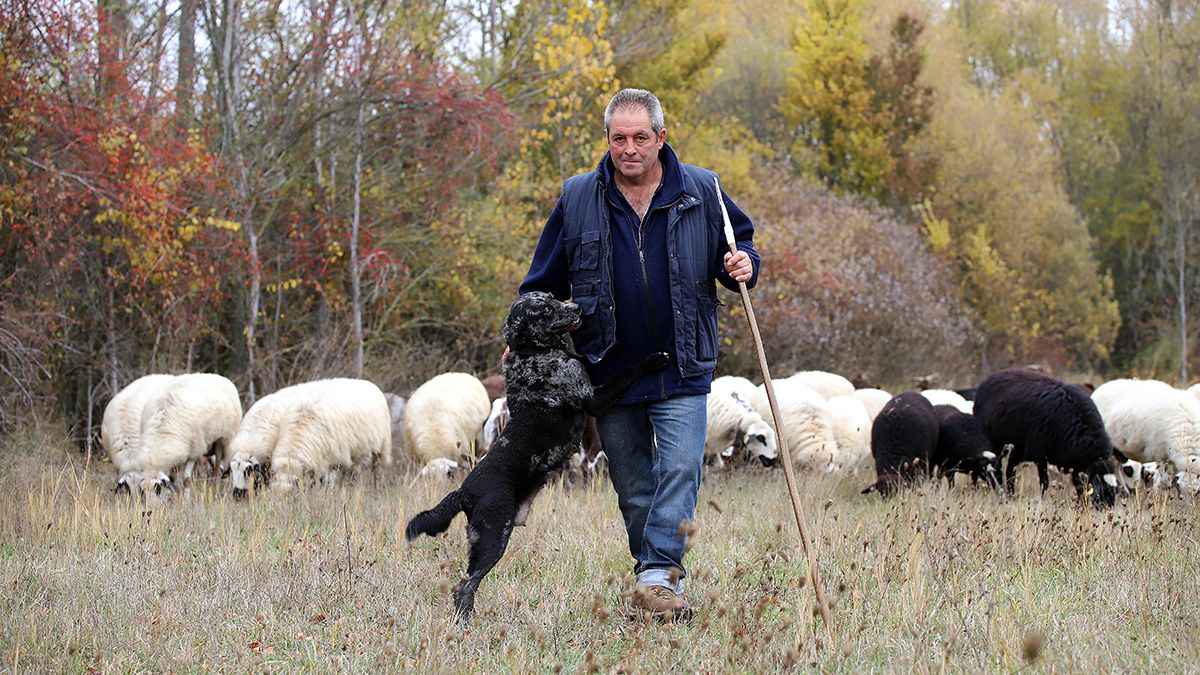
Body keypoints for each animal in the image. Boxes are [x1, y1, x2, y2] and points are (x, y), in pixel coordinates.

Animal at [133, 369, 241, 497]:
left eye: (158, 489)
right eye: (143, 491)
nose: (151, 503)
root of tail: (219, 377)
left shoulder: (194, 449)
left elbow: (186, 480)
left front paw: (185, 499)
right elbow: (173, 479)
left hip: (223, 438)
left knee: (218, 469)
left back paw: (216, 489)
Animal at [403, 291, 667, 619]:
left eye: (553, 297)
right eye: (544, 310)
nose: (577, 307)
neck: (535, 355)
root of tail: (463, 492)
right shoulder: (593, 398)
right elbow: (627, 372)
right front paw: (654, 359)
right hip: (492, 539)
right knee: (464, 585)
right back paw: (464, 621)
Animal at [969, 367, 1118, 504]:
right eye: (1101, 492)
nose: (1107, 509)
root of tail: (989, 379)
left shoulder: (1074, 462)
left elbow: (1079, 484)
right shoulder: (1040, 455)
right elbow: (1044, 483)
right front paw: (1043, 501)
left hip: (1018, 445)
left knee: (1010, 468)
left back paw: (1011, 495)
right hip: (997, 442)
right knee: (998, 468)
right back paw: (1001, 493)